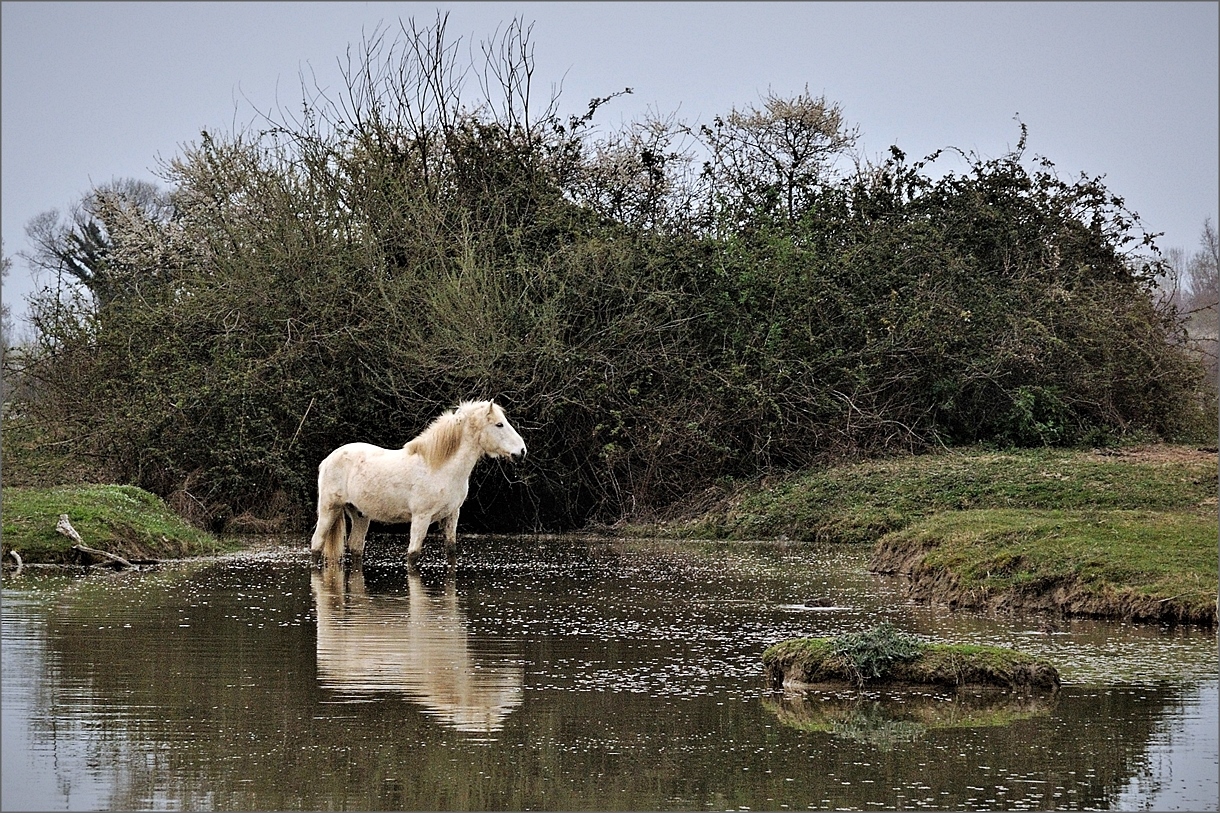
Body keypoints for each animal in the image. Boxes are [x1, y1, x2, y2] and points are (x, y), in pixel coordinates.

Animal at [309, 400, 527, 565]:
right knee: (316, 545)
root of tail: (328, 459)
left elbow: (451, 551)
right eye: (499, 424)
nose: (522, 451)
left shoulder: (452, 515)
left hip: (360, 514)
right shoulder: (421, 518)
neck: (440, 467)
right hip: (330, 509)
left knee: (355, 548)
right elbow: (413, 556)